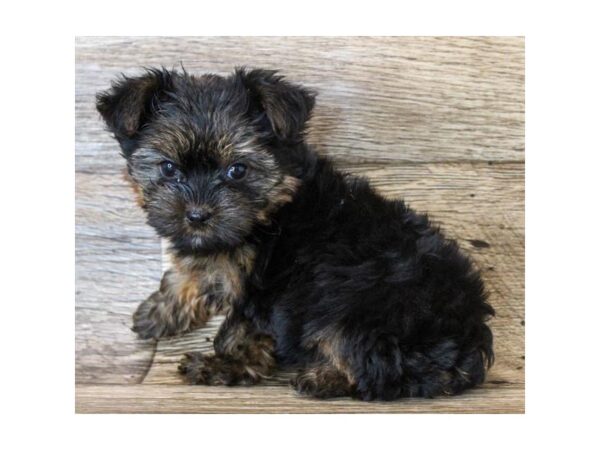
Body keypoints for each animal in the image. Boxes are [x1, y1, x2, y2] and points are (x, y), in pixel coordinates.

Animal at [96, 67, 494, 400]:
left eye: (237, 170)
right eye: (168, 168)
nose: (197, 215)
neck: (268, 213)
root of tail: (469, 339)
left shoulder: (266, 288)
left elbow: (239, 330)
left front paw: (226, 365)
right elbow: (193, 273)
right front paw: (156, 312)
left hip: (357, 307)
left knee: (374, 370)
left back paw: (322, 378)